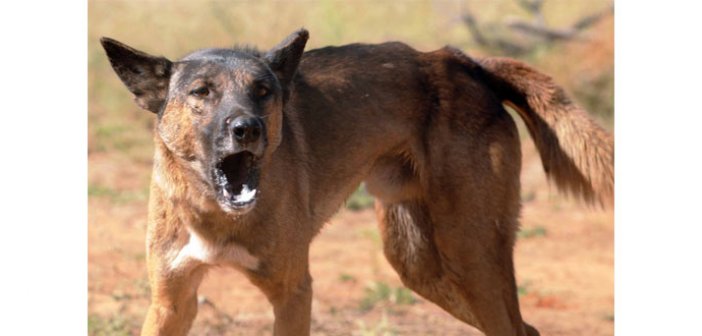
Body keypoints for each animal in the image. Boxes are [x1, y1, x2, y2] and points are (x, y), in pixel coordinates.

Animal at [100, 28, 616, 336]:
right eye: (201, 93)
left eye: (263, 92)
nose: (248, 128)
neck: (216, 214)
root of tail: (463, 62)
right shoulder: (172, 300)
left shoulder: (293, 291)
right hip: (420, 265)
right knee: (525, 328)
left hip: (471, 253)